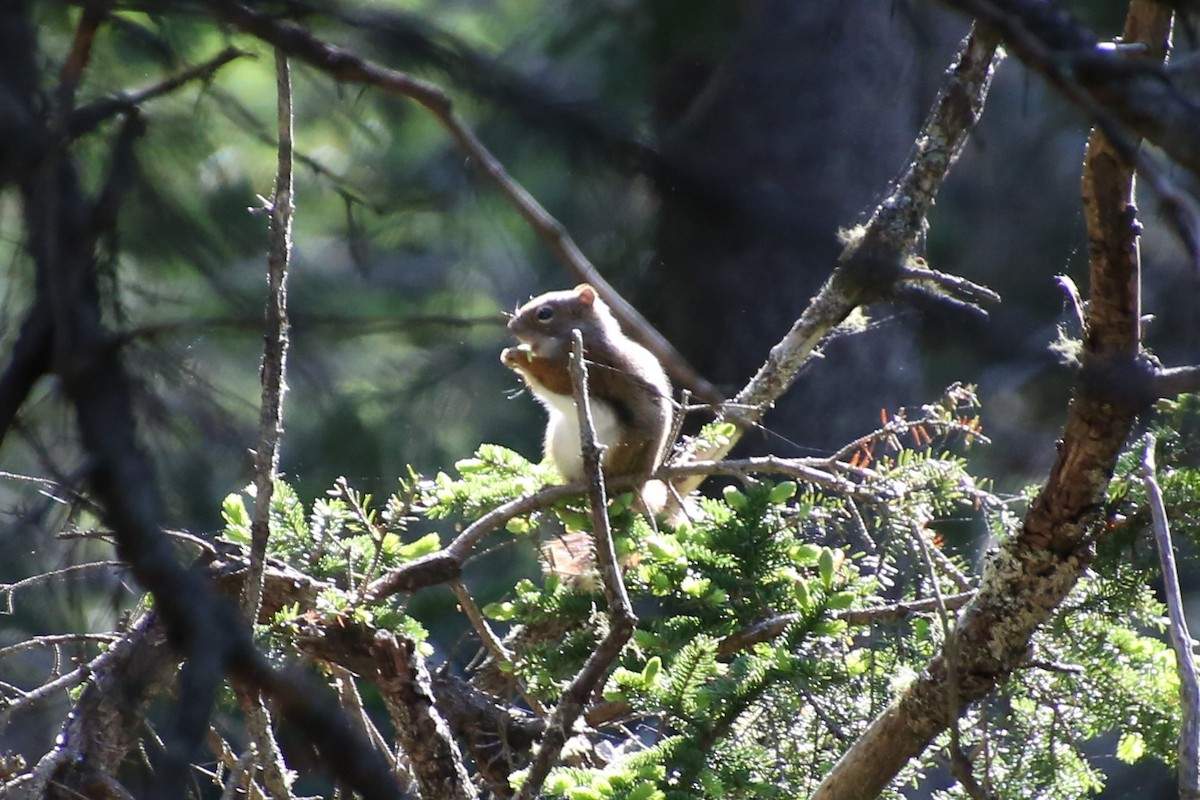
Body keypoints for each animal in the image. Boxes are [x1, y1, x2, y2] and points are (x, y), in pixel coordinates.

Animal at [500, 284, 673, 497]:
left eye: (545, 313)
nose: (512, 326)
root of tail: (640, 484)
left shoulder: (593, 364)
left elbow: (557, 379)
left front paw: (518, 356)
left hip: (621, 448)